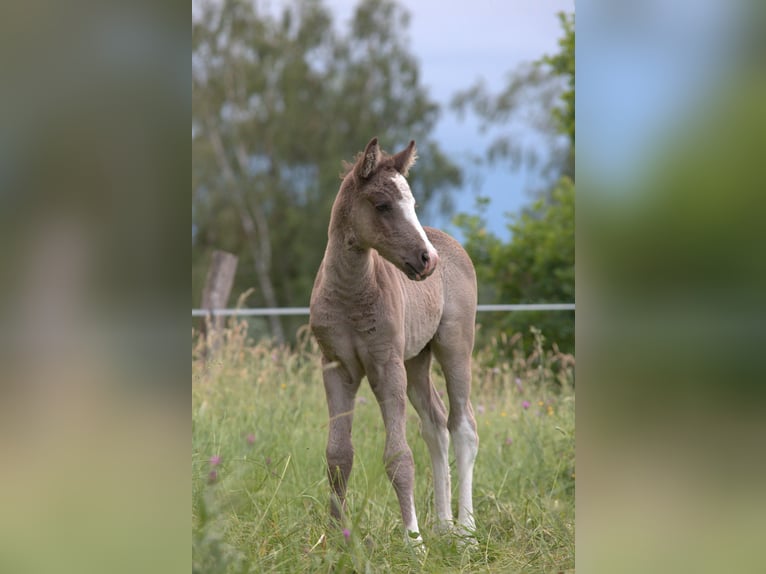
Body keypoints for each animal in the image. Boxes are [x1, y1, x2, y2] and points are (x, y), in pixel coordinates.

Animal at [309, 137, 479, 544]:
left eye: (413, 204)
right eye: (383, 205)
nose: (427, 259)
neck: (351, 294)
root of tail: (450, 243)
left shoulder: (386, 367)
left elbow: (399, 456)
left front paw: (413, 543)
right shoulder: (336, 368)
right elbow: (338, 455)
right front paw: (335, 538)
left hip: (454, 347)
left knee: (463, 426)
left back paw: (466, 531)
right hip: (416, 360)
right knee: (435, 426)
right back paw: (443, 527)